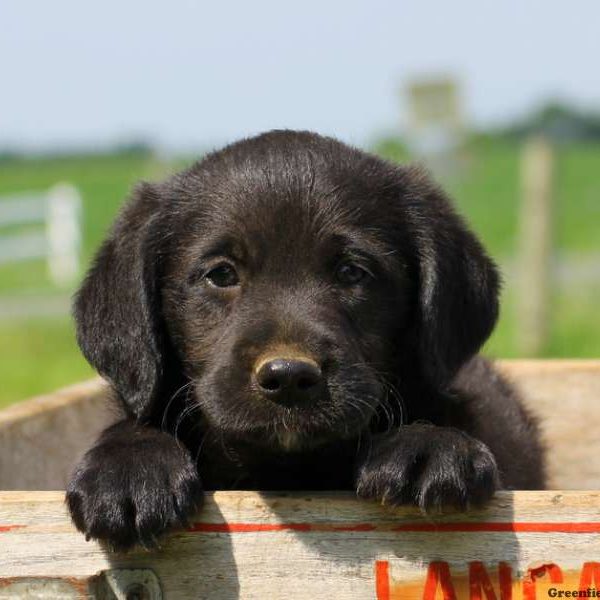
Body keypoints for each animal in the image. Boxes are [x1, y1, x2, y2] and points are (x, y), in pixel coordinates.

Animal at [65, 130, 544, 548]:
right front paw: (131, 469)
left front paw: (428, 446)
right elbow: (134, 423)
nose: (289, 377)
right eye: (221, 274)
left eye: (352, 271)